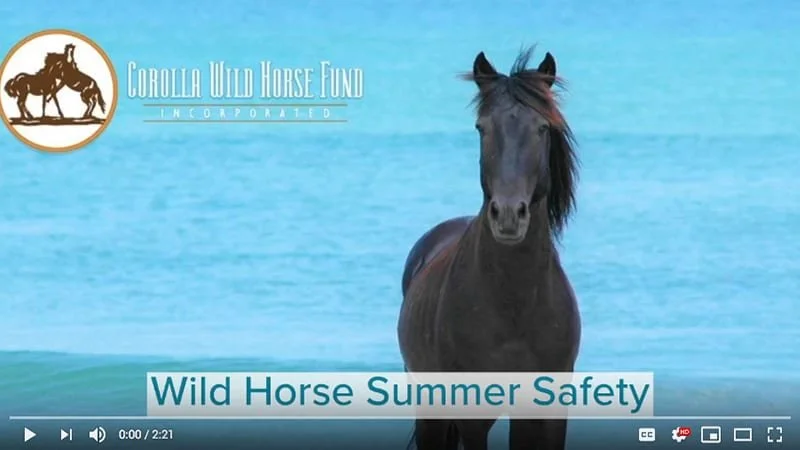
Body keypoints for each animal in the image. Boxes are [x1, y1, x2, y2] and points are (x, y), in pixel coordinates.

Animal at [398, 47, 581, 450]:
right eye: (482, 128)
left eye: (542, 128)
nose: (509, 215)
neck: (515, 305)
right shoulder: (472, 417)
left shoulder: (546, 414)